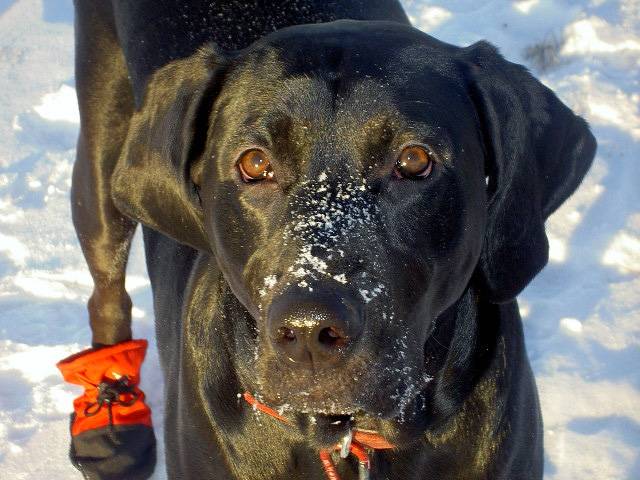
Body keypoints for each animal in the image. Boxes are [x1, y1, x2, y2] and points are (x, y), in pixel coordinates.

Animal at [70, 1, 596, 478]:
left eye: (414, 159)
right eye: (254, 163)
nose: (309, 331)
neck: (349, 439)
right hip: (102, 160)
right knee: (106, 293)